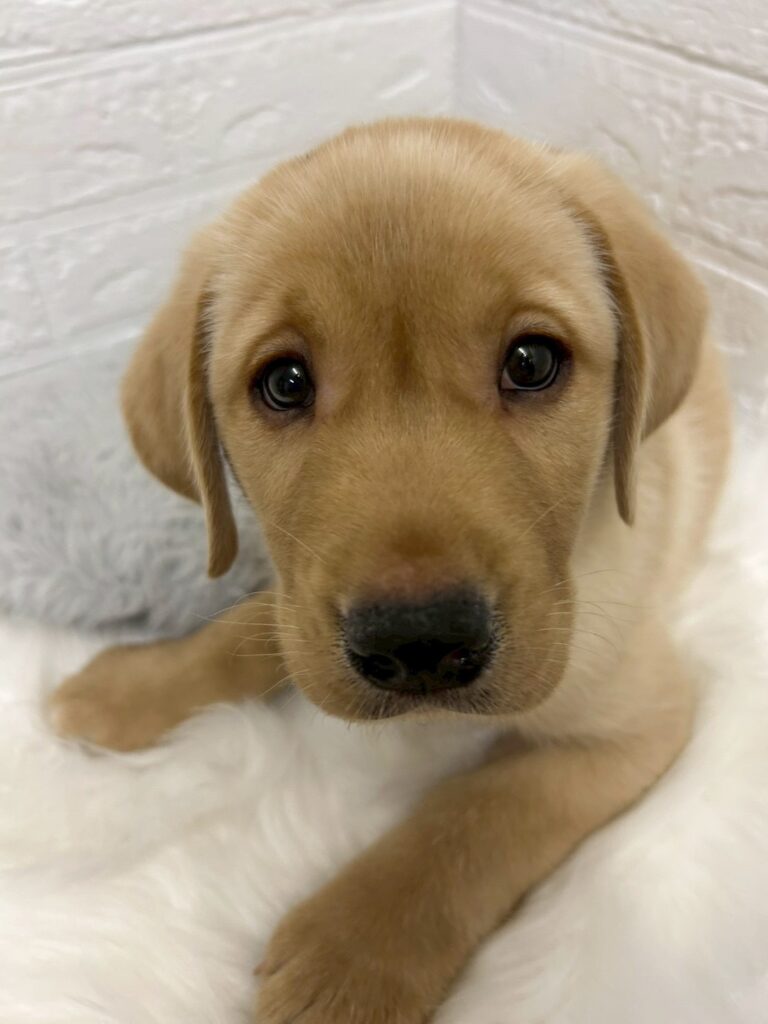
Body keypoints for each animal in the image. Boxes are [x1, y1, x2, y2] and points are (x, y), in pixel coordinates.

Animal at [49, 117, 731, 1023]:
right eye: (285, 382)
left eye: (531, 362)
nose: (419, 645)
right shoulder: (299, 594)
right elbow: (250, 625)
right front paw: (131, 689)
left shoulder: (637, 718)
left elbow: (480, 811)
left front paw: (350, 958)